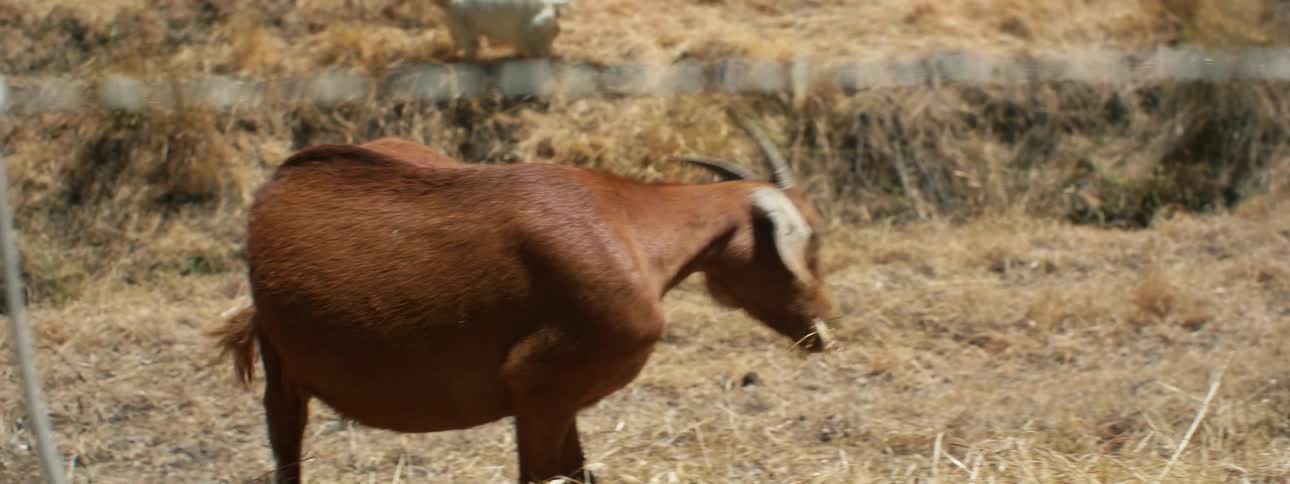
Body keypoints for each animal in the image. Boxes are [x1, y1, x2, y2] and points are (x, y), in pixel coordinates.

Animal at [212, 112, 835, 483]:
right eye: (810, 238)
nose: (824, 328)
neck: (629, 227)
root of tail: (282, 181)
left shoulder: (563, 403)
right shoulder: (539, 390)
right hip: (283, 375)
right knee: (286, 446)